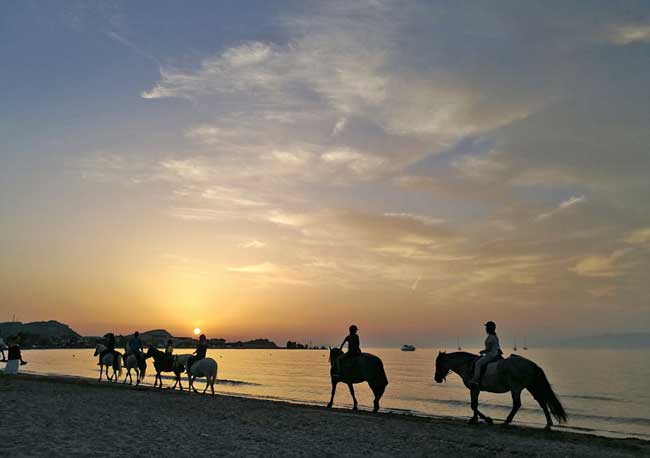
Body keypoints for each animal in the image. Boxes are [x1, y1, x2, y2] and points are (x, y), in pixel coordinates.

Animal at [432, 350, 564, 430]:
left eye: (438, 364)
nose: (436, 378)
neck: (467, 365)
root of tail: (531, 364)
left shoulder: (474, 388)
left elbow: (473, 405)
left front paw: (487, 419)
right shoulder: (476, 389)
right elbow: (475, 404)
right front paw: (474, 419)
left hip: (516, 388)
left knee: (517, 404)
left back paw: (507, 421)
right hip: (530, 386)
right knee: (541, 401)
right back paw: (548, 424)